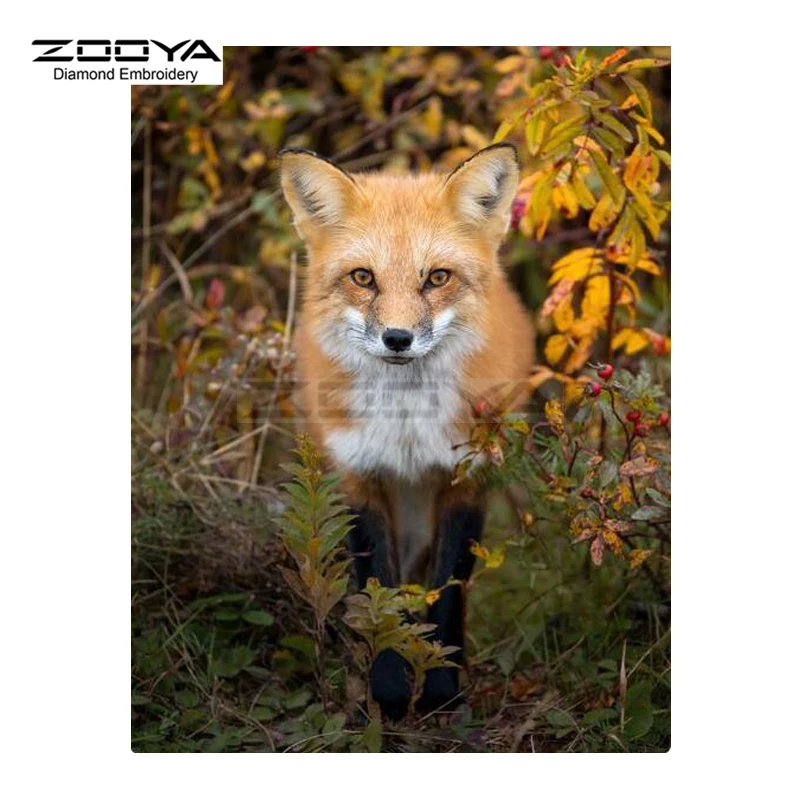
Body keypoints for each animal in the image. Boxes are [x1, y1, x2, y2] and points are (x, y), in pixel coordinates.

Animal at [279, 143, 534, 719]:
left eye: (437, 278)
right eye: (363, 277)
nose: (397, 339)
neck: (408, 426)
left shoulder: (468, 479)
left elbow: (448, 592)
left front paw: (440, 692)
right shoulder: (359, 476)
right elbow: (380, 592)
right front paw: (391, 692)